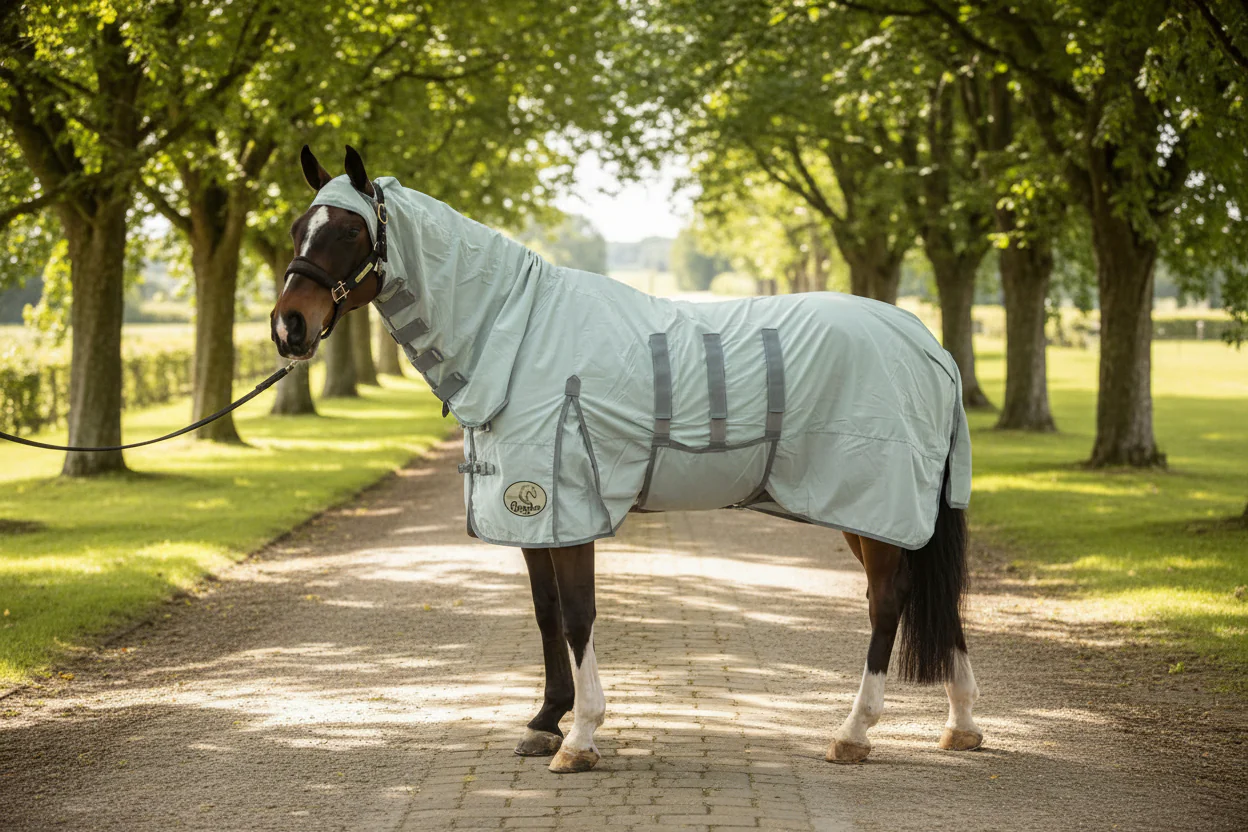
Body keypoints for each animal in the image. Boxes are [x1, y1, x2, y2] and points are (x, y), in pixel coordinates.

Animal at [271, 145, 983, 773]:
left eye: (349, 231)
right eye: (298, 228)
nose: (288, 327)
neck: (517, 334)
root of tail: (928, 345)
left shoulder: (568, 505)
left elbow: (578, 613)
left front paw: (581, 736)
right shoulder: (532, 512)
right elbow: (546, 611)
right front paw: (545, 721)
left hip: (873, 504)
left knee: (887, 600)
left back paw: (854, 732)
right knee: (925, 595)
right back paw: (962, 724)